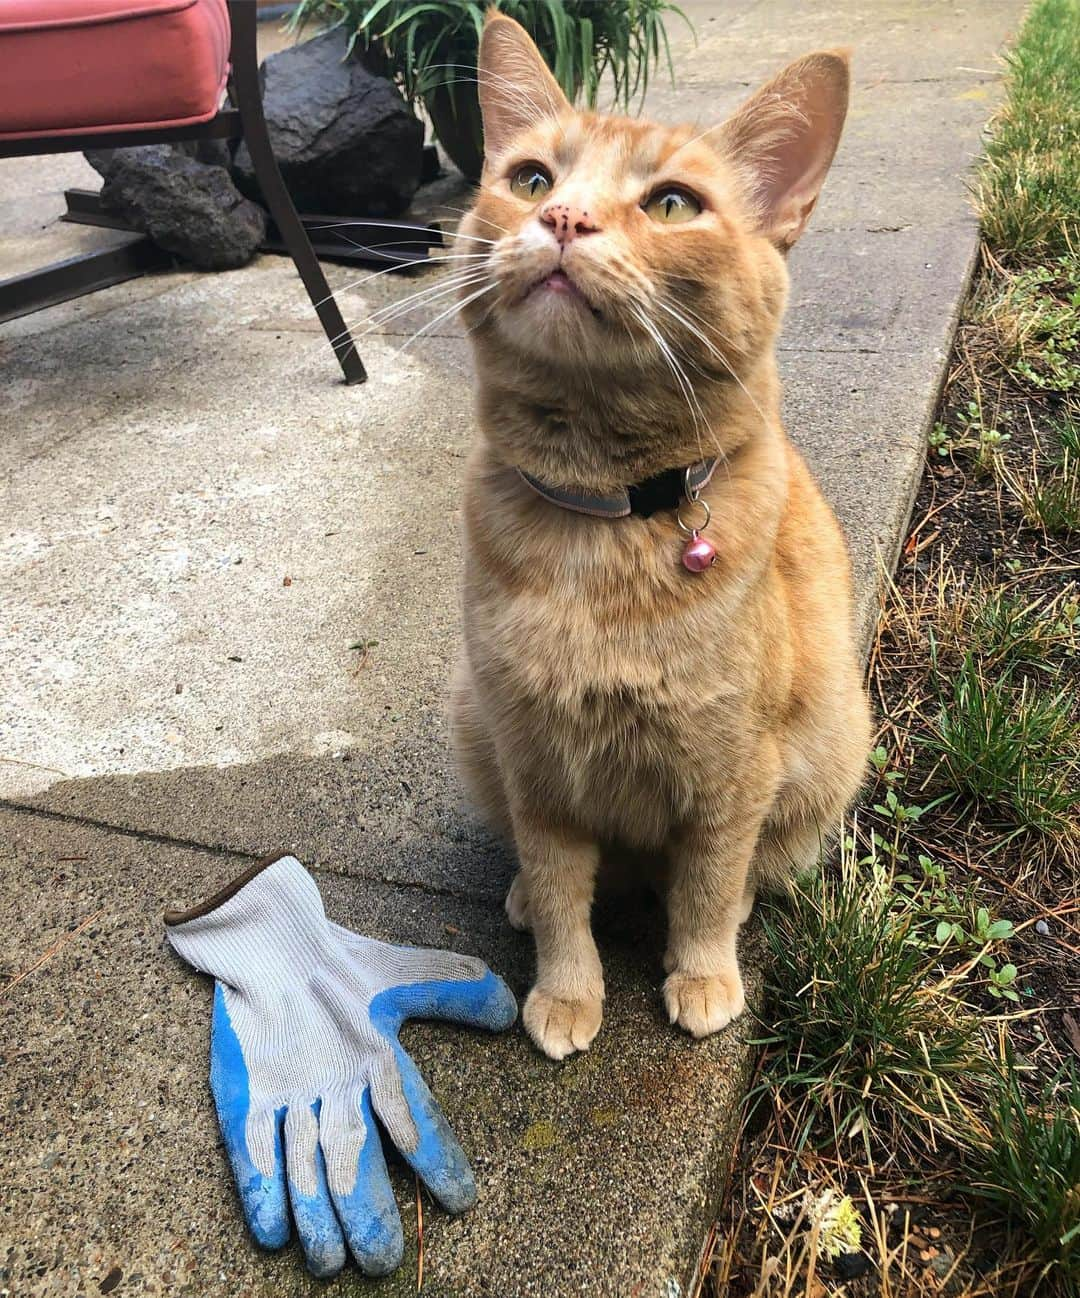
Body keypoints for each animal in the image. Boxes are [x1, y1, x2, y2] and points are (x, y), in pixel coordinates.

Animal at [451, 15, 872, 1059]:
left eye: (673, 203)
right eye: (531, 179)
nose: (564, 220)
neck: (603, 522)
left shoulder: (732, 773)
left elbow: (708, 888)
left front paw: (703, 975)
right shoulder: (536, 765)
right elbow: (563, 891)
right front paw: (565, 991)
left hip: (830, 750)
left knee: (755, 866)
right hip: (471, 720)